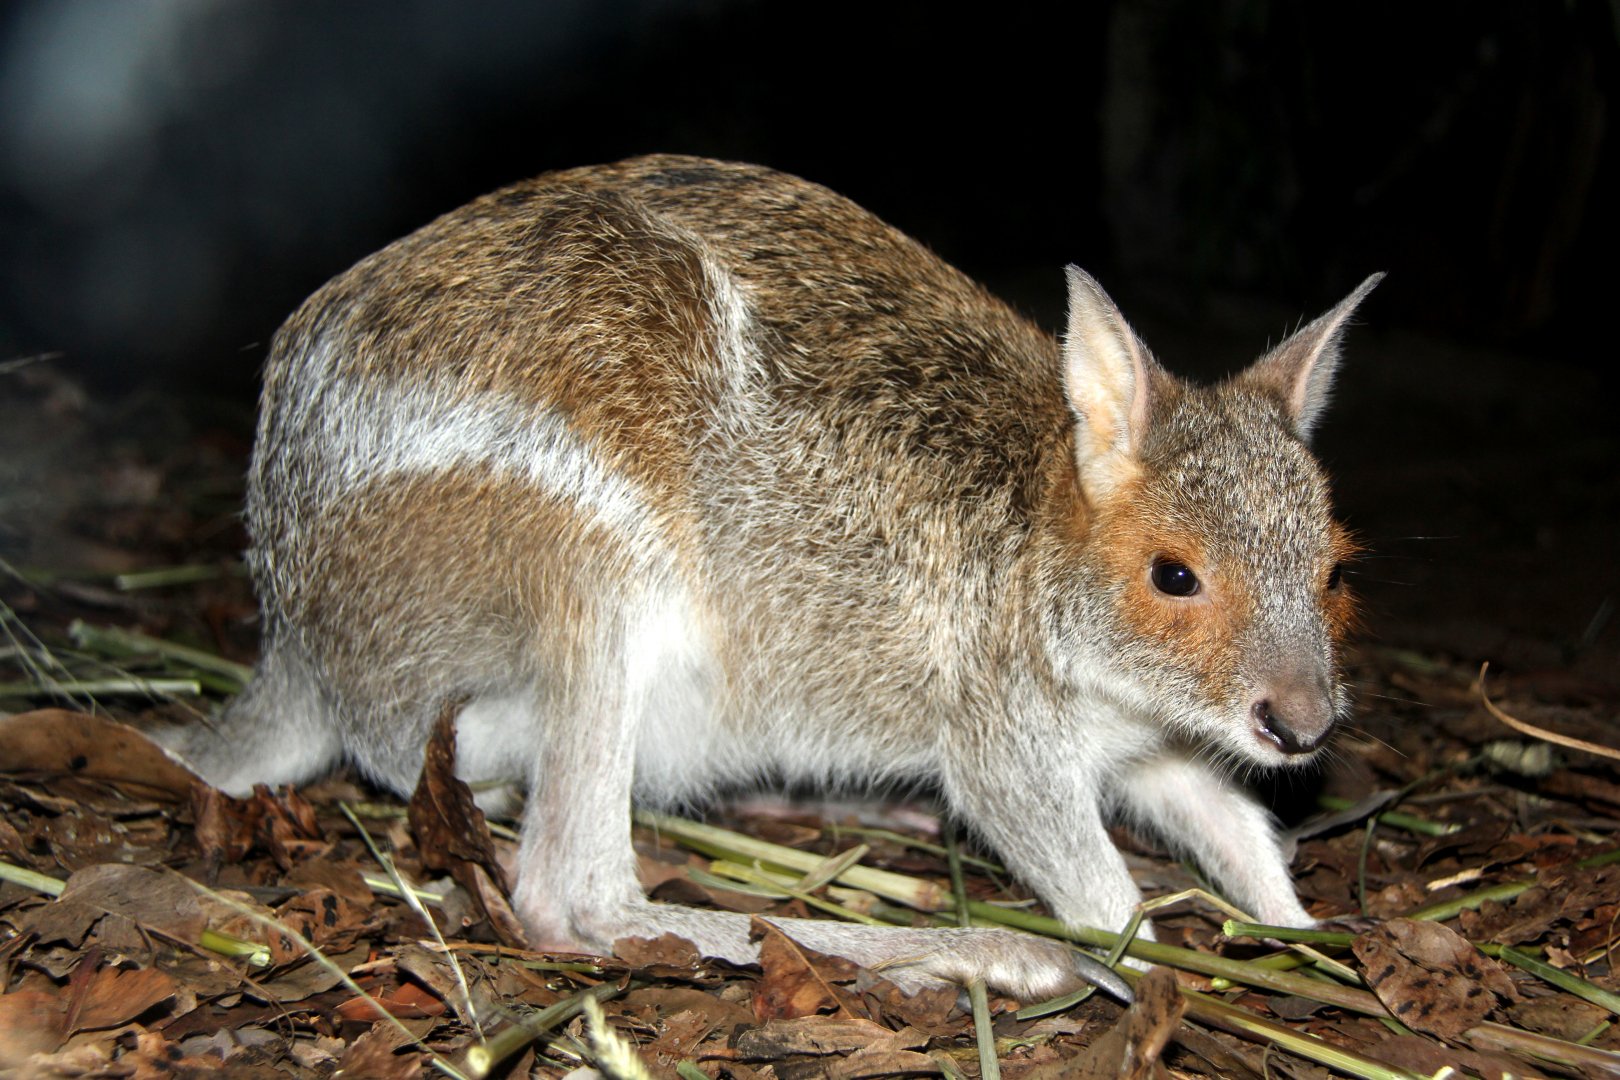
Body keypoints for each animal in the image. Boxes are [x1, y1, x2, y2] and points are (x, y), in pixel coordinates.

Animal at [163, 154, 1379, 1003]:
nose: (1303, 726)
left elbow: (1231, 821)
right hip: (585, 553)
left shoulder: (1155, 742)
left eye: (1332, 570)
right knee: (575, 896)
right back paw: (991, 954)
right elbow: (1093, 882)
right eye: (1174, 575)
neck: (1045, 540)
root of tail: (296, 643)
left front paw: (1305, 937)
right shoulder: (1004, 732)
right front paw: (1151, 966)